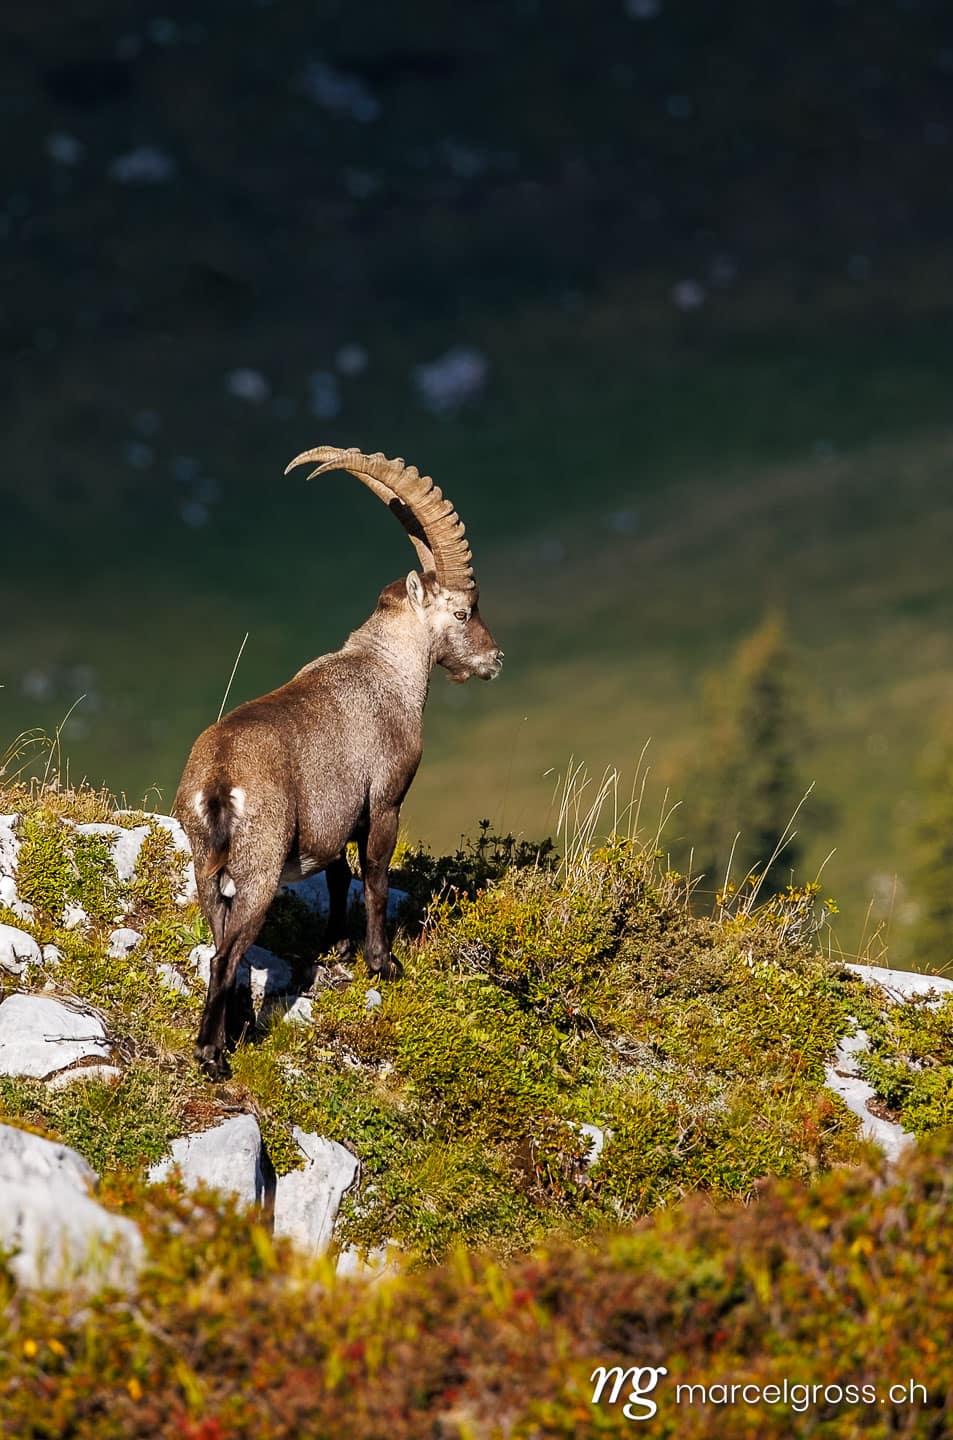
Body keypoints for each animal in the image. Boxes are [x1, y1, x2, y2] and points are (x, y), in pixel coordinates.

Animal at [174, 446, 503, 1078]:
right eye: (462, 612)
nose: (494, 659)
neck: (387, 670)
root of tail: (220, 777)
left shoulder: (336, 814)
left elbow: (336, 874)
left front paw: (337, 945)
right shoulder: (386, 799)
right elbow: (373, 875)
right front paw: (383, 962)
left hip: (207, 867)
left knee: (222, 944)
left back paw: (237, 1030)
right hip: (259, 867)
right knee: (224, 957)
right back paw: (213, 1056)